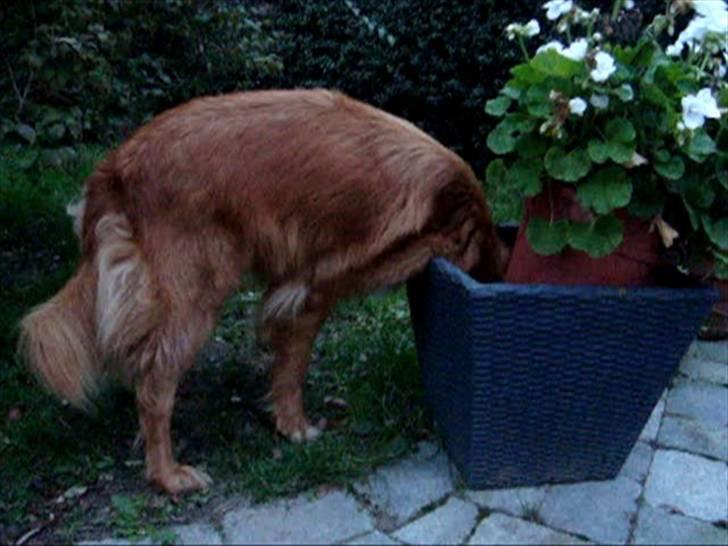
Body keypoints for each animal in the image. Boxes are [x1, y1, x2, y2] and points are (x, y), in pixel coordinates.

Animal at [17, 89, 506, 492]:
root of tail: (116, 165)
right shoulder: (312, 289)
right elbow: (293, 369)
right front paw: (295, 427)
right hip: (194, 300)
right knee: (154, 384)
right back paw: (168, 475)